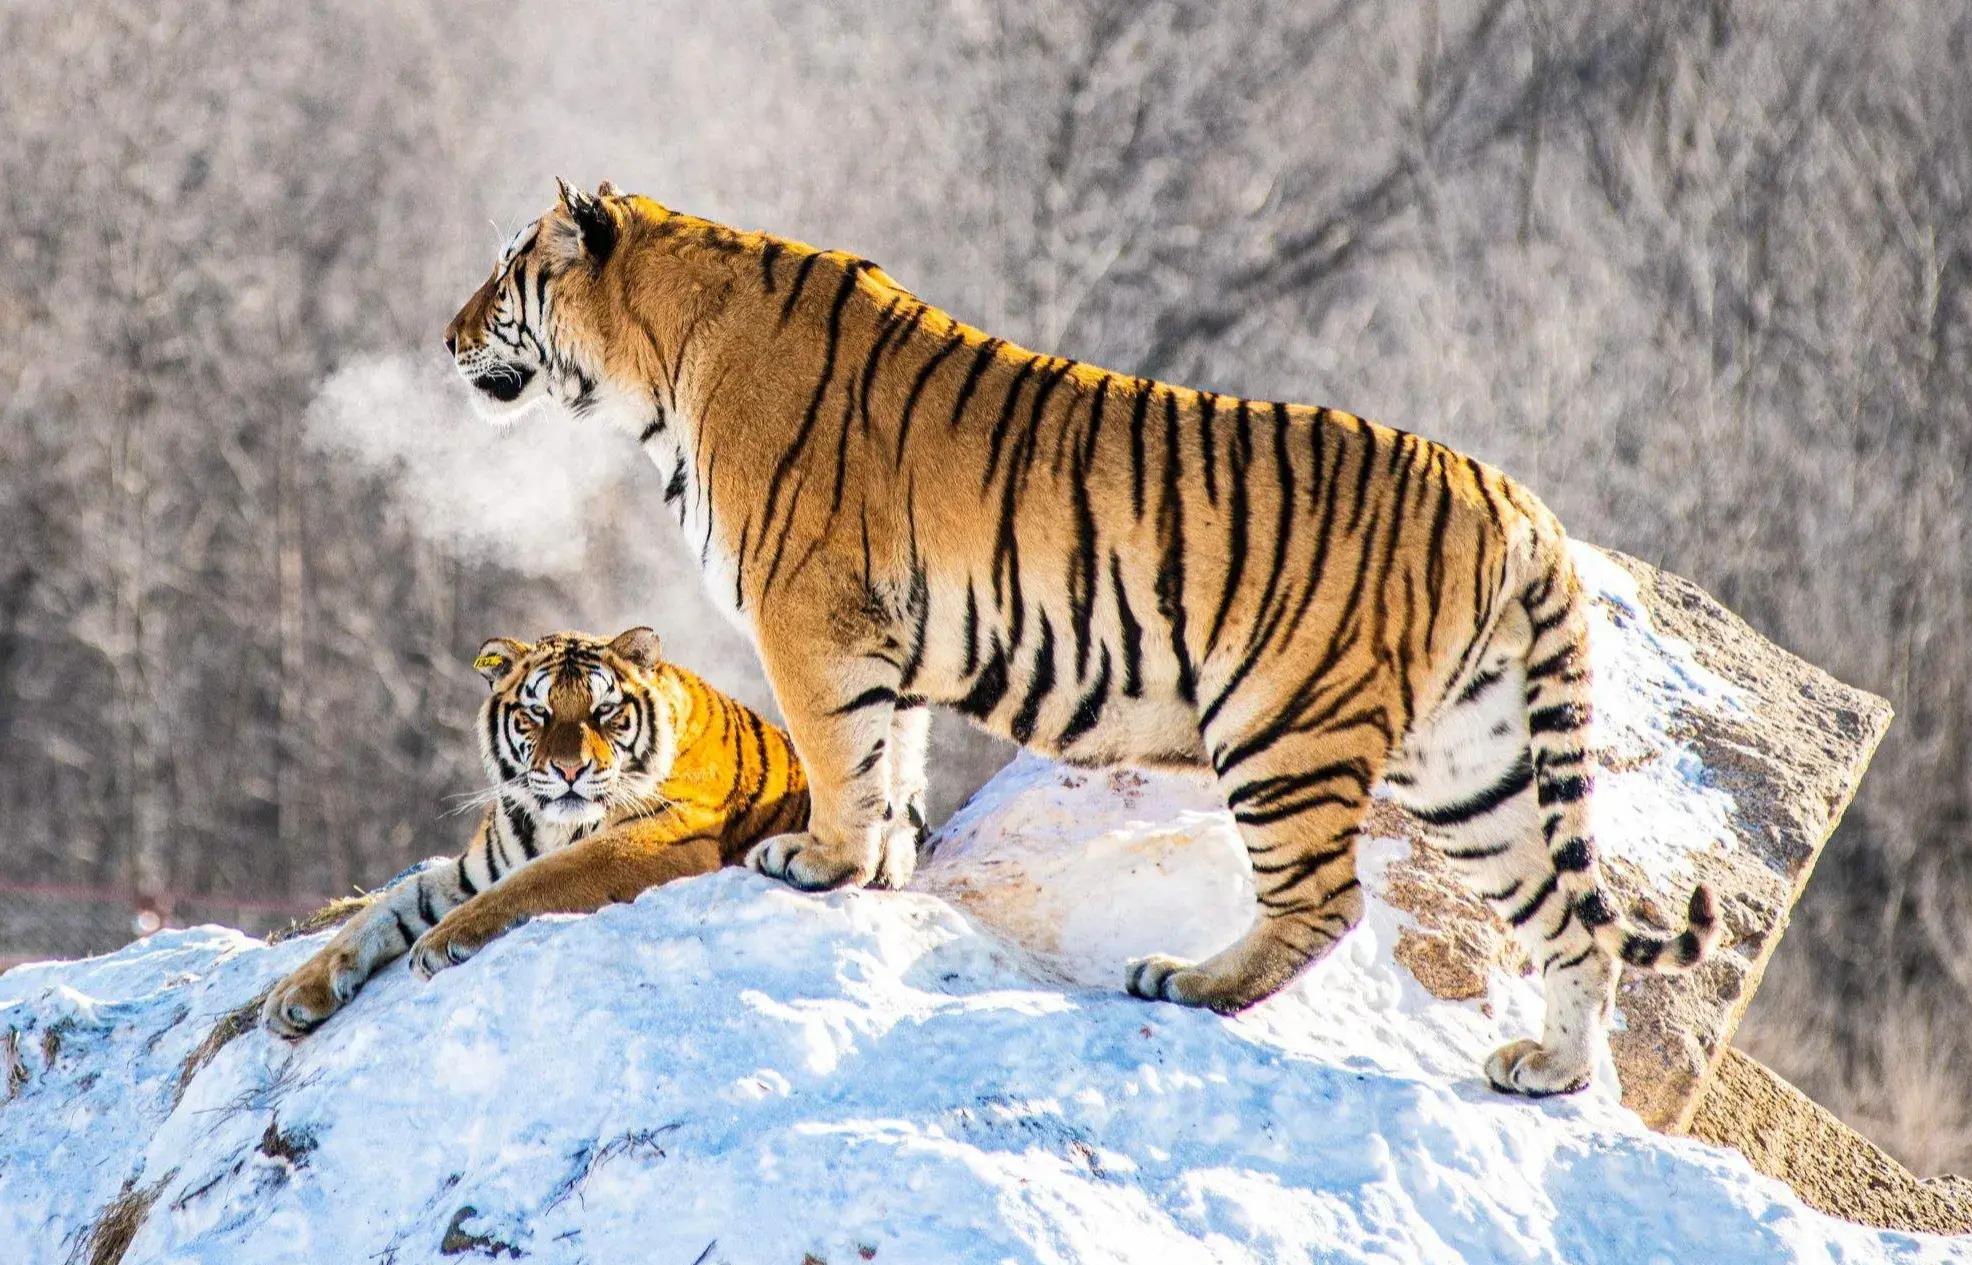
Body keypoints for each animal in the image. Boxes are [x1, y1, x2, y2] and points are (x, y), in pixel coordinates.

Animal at [262, 627, 800, 1034]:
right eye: (538, 713)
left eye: (604, 711)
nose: (570, 770)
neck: (550, 825)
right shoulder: (472, 870)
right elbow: (382, 909)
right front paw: (293, 992)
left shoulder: (669, 838)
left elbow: (542, 877)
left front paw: (439, 941)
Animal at [439, 179, 1719, 1097]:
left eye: (501, 275)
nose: (447, 337)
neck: (657, 360)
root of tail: (1520, 504)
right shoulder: (881, 633)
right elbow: (890, 756)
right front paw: (880, 866)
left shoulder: (808, 612)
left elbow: (839, 753)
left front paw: (819, 859)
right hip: (1474, 759)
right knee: (1566, 919)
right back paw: (1547, 1071)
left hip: (1283, 723)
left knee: (1324, 899)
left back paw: (1188, 981)